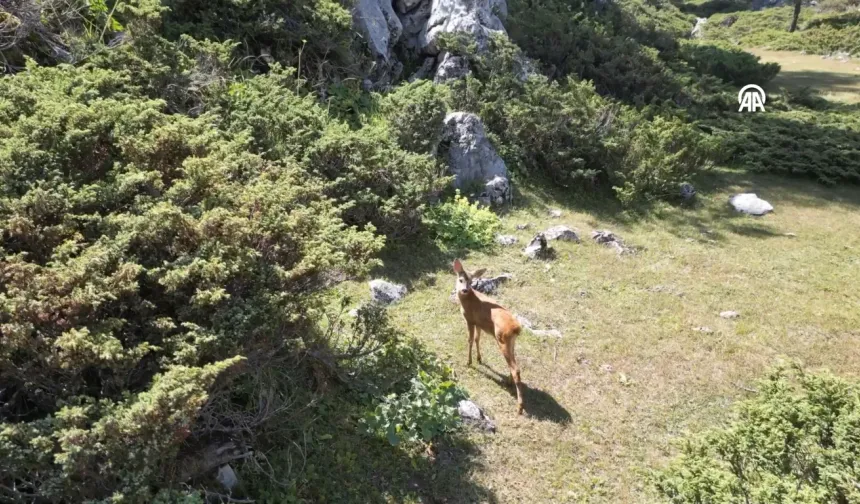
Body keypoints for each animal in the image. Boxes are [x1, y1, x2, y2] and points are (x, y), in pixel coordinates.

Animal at [450, 260, 524, 414]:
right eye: (461, 280)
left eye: (471, 282)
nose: (464, 290)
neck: (468, 300)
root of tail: (516, 328)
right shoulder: (479, 323)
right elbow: (477, 339)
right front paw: (479, 359)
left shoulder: (470, 320)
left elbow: (470, 340)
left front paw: (469, 362)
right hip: (511, 342)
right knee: (514, 365)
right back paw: (508, 381)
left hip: (502, 340)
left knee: (516, 369)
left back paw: (519, 407)